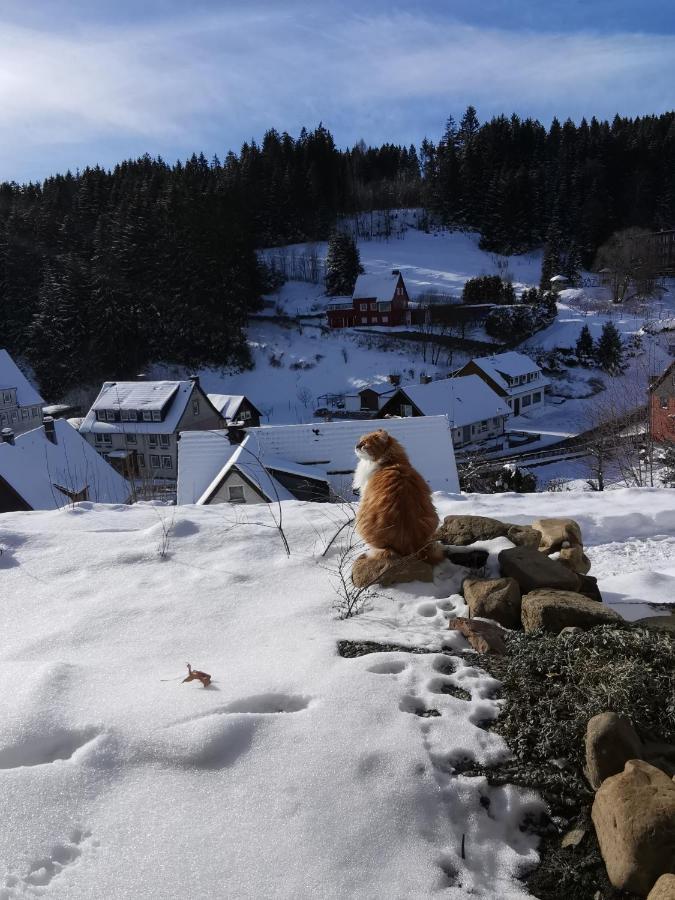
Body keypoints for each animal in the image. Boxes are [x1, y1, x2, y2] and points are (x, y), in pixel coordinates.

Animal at [354, 428, 444, 564]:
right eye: (360, 441)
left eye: (364, 443)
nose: (356, 445)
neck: (391, 461)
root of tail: (409, 547)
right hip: (432, 518)